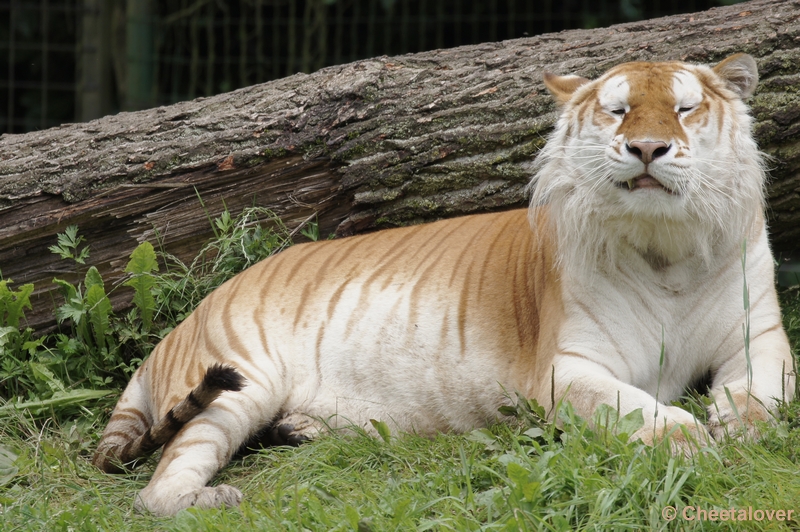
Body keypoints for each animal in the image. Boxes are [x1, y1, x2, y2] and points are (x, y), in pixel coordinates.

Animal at [94, 54, 792, 516]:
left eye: (684, 109)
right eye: (618, 111)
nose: (647, 148)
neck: (666, 248)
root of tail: (178, 328)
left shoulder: (759, 337)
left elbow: (766, 392)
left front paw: (742, 428)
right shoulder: (567, 367)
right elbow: (636, 408)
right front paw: (693, 441)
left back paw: (302, 431)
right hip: (239, 378)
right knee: (155, 491)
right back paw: (215, 498)